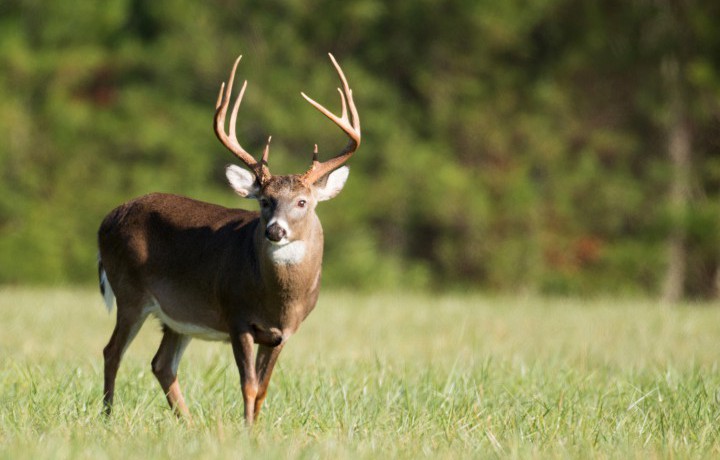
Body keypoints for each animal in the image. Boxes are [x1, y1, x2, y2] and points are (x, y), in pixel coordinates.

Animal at [97, 54, 360, 424]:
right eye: (264, 200)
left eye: (302, 202)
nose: (274, 230)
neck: (280, 300)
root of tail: (108, 219)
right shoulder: (237, 316)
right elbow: (248, 385)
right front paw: (247, 430)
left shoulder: (282, 334)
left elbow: (262, 389)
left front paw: (256, 428)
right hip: (130, 292)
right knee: (112, 352)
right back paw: (108, 417)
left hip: (177, 314)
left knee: (161, 364)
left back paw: (189, 423)